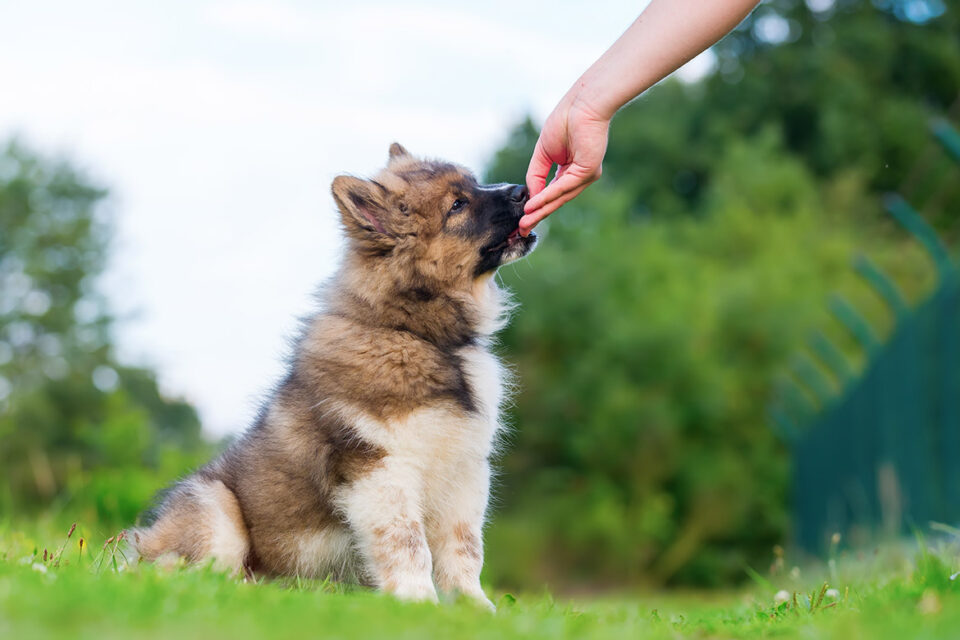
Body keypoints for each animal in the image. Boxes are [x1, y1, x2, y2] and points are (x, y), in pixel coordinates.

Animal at [128, 142, 536, 608]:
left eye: (473, 184)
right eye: (457, 205)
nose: (523, 190)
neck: (418, 334)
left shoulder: (465, 472)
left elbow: (465, 549)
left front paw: (474, 608)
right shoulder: (381, 468)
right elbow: (407, 541)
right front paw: (417, 601)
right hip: (214, 508)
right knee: (185, 573)